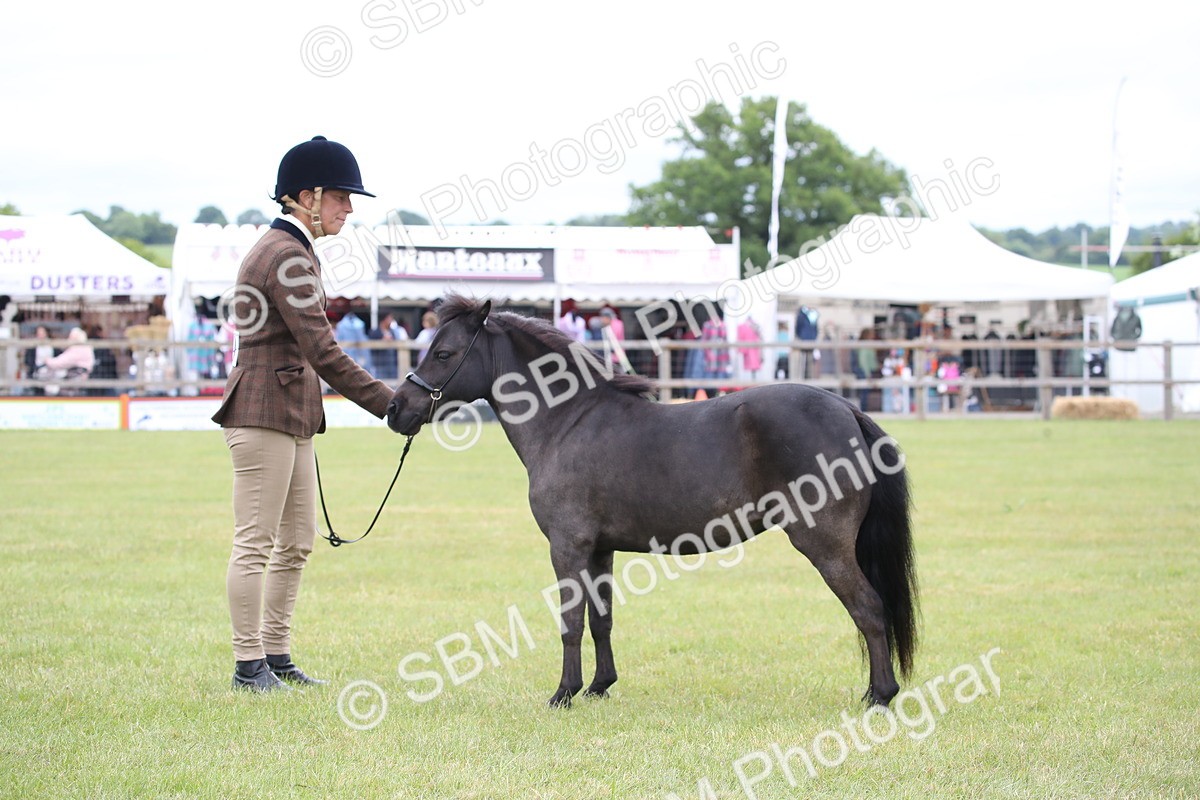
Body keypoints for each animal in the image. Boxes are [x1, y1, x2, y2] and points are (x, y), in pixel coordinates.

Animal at [386, 295, 918, 708]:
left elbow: (570, 622)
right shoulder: (599, 549)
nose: (395, 409)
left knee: (869, 610)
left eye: (444, 352)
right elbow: (600, 619)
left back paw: (880, 696)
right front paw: (599, 687)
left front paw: (563, 693)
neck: (569, 421)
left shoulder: (567, 547)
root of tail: (846, 408)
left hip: (824, 545)